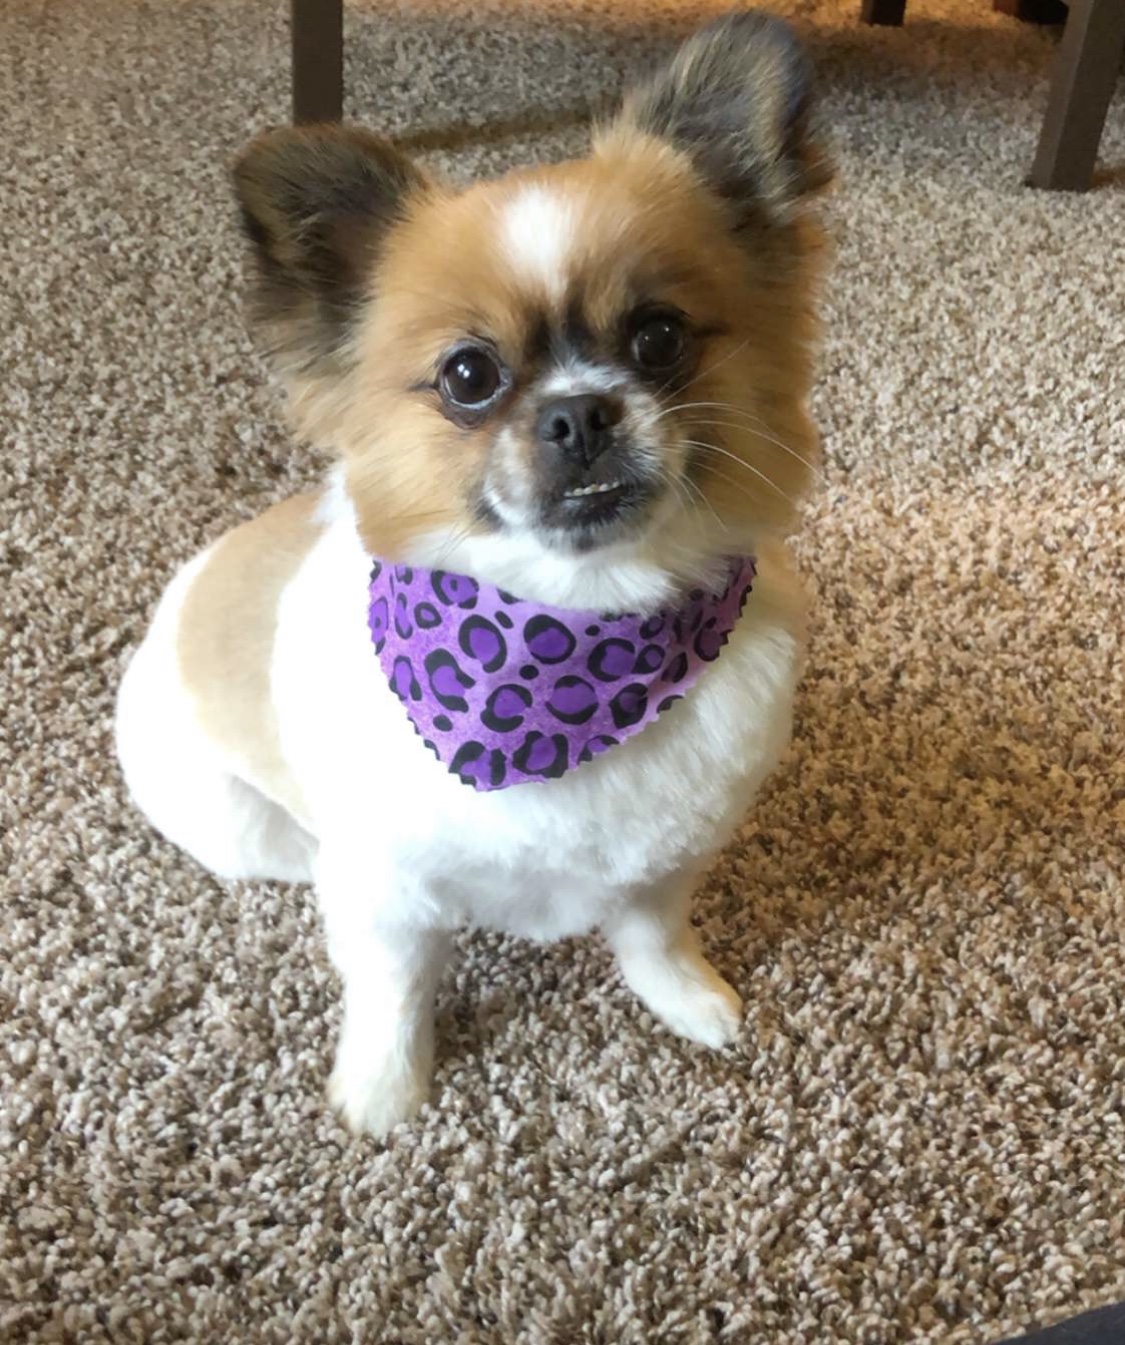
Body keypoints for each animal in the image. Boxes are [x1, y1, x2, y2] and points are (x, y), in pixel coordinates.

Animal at [115, 11, 832, 1135]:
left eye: (658, 337)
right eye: (468, 375)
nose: (579, 413)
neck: (570, 640)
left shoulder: (667, 858)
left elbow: (651, 934)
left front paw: (683, 999)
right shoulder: (385, 889)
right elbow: (393, 986)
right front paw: (383, 1090)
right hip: (243, 828)